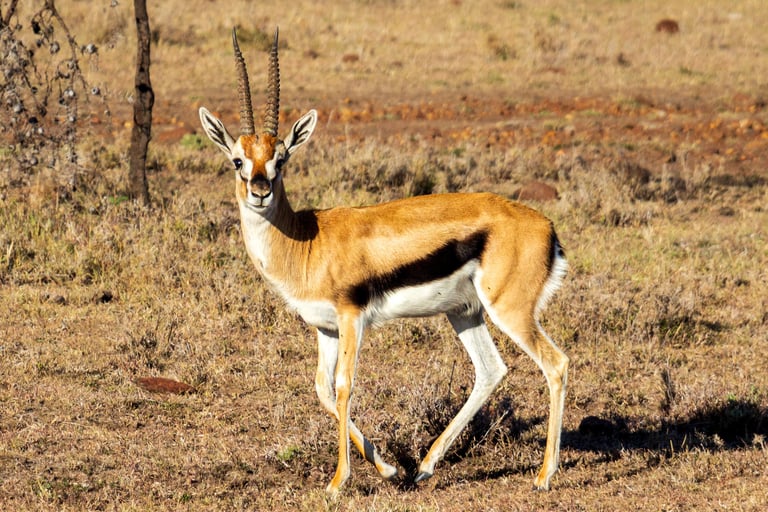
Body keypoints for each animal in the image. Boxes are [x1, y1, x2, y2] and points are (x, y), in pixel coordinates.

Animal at [199, 28, 569, 495]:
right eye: (238, 160)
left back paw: (544, 475)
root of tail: (546, 226)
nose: (260, 191)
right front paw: (390, 470)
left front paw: (337, 482)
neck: (307, 240)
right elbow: (322, 389)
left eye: (281, 158)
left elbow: (344, 386)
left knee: (555, 364)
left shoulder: (352, 316)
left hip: (510, 311)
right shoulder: (325, 327)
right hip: (465, 312)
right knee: (490, 371)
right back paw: (424, 467)